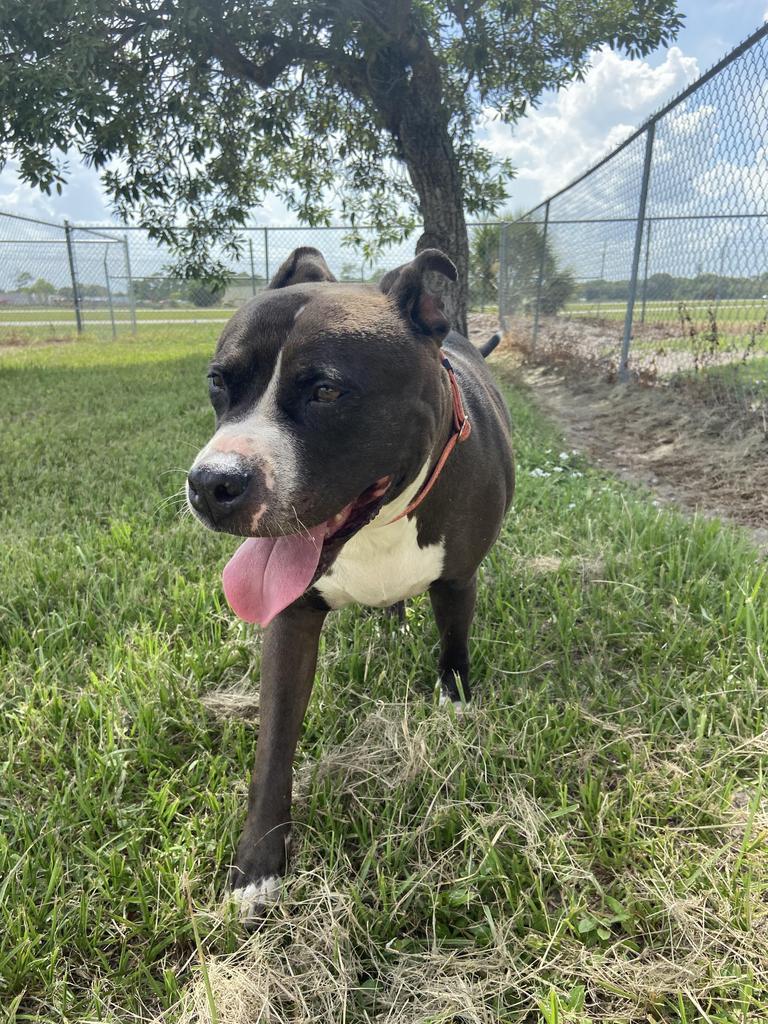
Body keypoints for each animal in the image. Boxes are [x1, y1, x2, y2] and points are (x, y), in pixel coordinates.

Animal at [185, 245, 518, 921]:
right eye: (217, 383)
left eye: (327, 390)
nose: (210, 484)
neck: (380, 521)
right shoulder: (290, 618)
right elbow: (274, 744)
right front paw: (257, 867)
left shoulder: (458, 580)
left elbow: (453, 649)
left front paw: (454, 708)